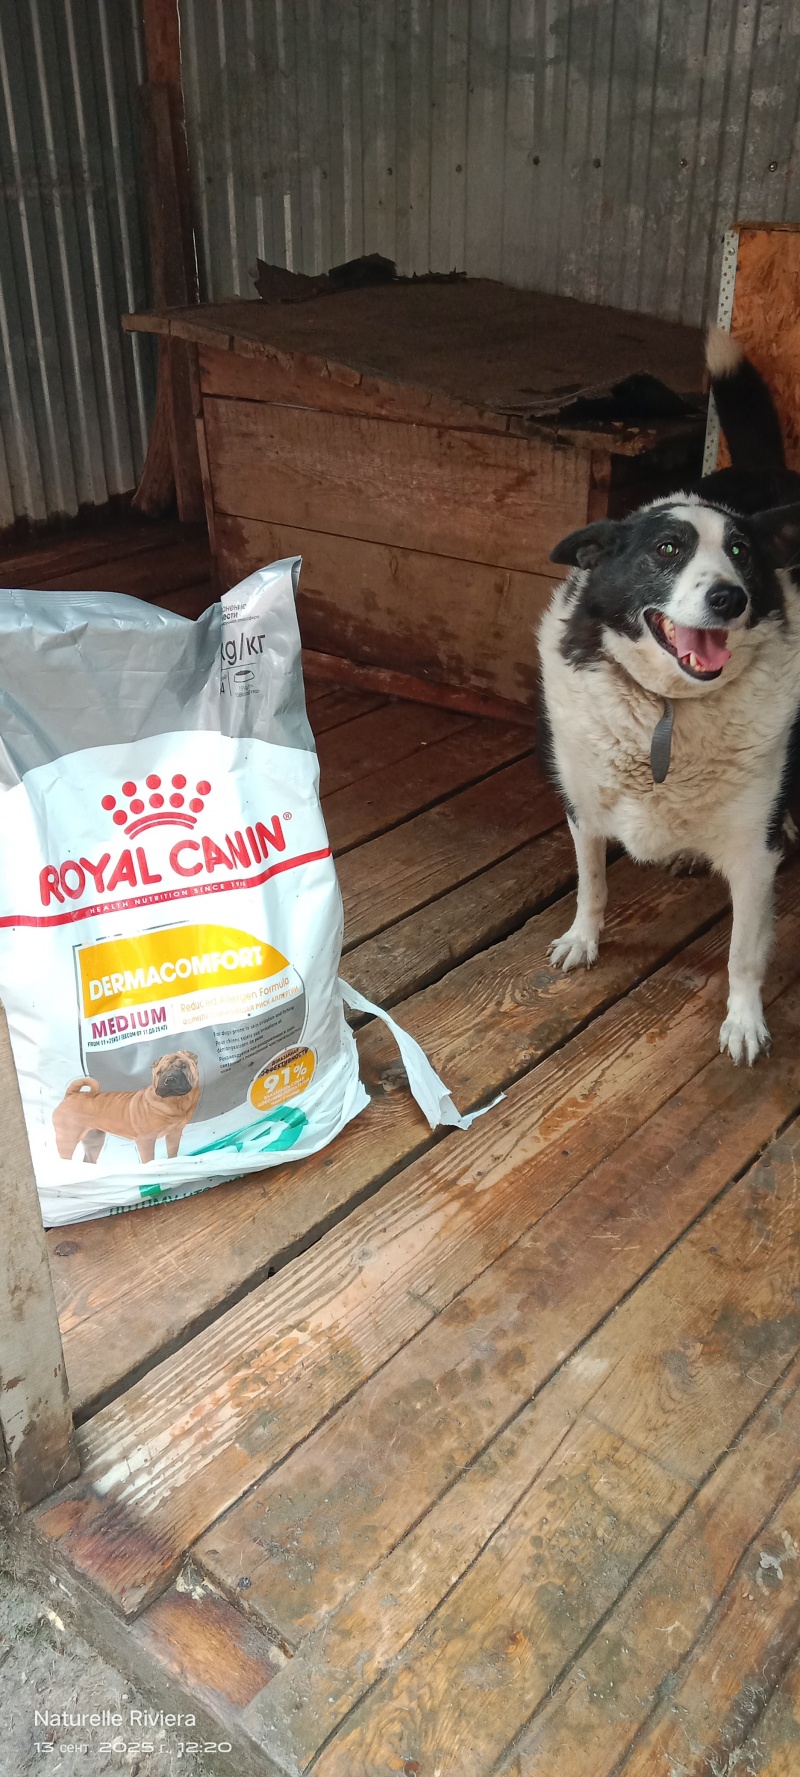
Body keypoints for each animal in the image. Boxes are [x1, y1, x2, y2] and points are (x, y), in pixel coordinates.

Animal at [53, 1050, 201, 1164]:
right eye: (159, 1072)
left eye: (183, 1066)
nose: (169, 1079)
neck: (175, 1102)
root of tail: (70, 1095)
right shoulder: (145, 1140)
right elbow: (148, 1160)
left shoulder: (174, 1133)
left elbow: (172, 1152)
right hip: (67, 1138)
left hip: (94, 1139)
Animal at [538, 330, 800, 1066]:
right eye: (665, 549)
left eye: (741, 554)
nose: (729, 597)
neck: (667, 709)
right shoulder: (584, 806)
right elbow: (592, 883)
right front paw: (583, 938)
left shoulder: (754, 850)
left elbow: (744, 952)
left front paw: (743, 1020)